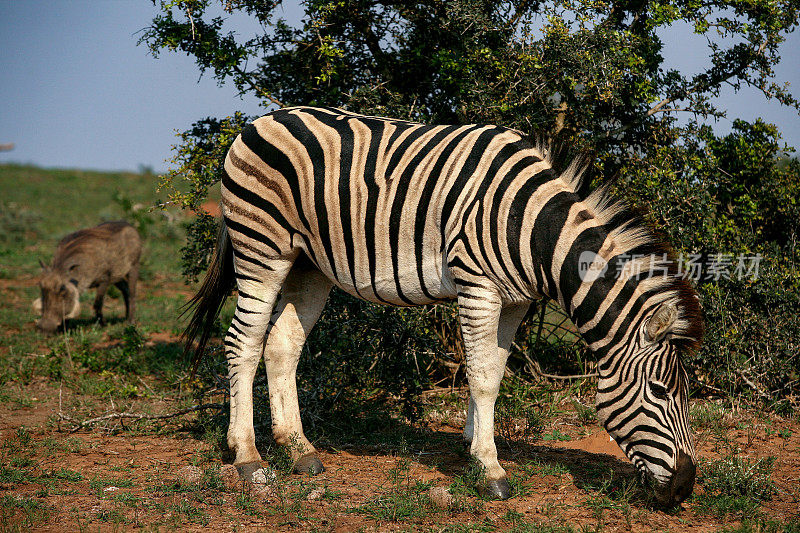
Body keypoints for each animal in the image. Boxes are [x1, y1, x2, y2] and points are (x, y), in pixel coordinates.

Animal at [184, 106, 704, 504]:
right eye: (661, 392)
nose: (684, 487)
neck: (534, 231)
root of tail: (261, 119)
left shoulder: (514, 301)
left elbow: (493, 371)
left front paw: (474, 447)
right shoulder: (478, 284)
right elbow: (482, 377)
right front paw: (490, 469)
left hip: (308, 265)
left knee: (282, 345)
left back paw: (298, 450)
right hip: (262, 247)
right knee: (242, 342)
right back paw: (248, 459)